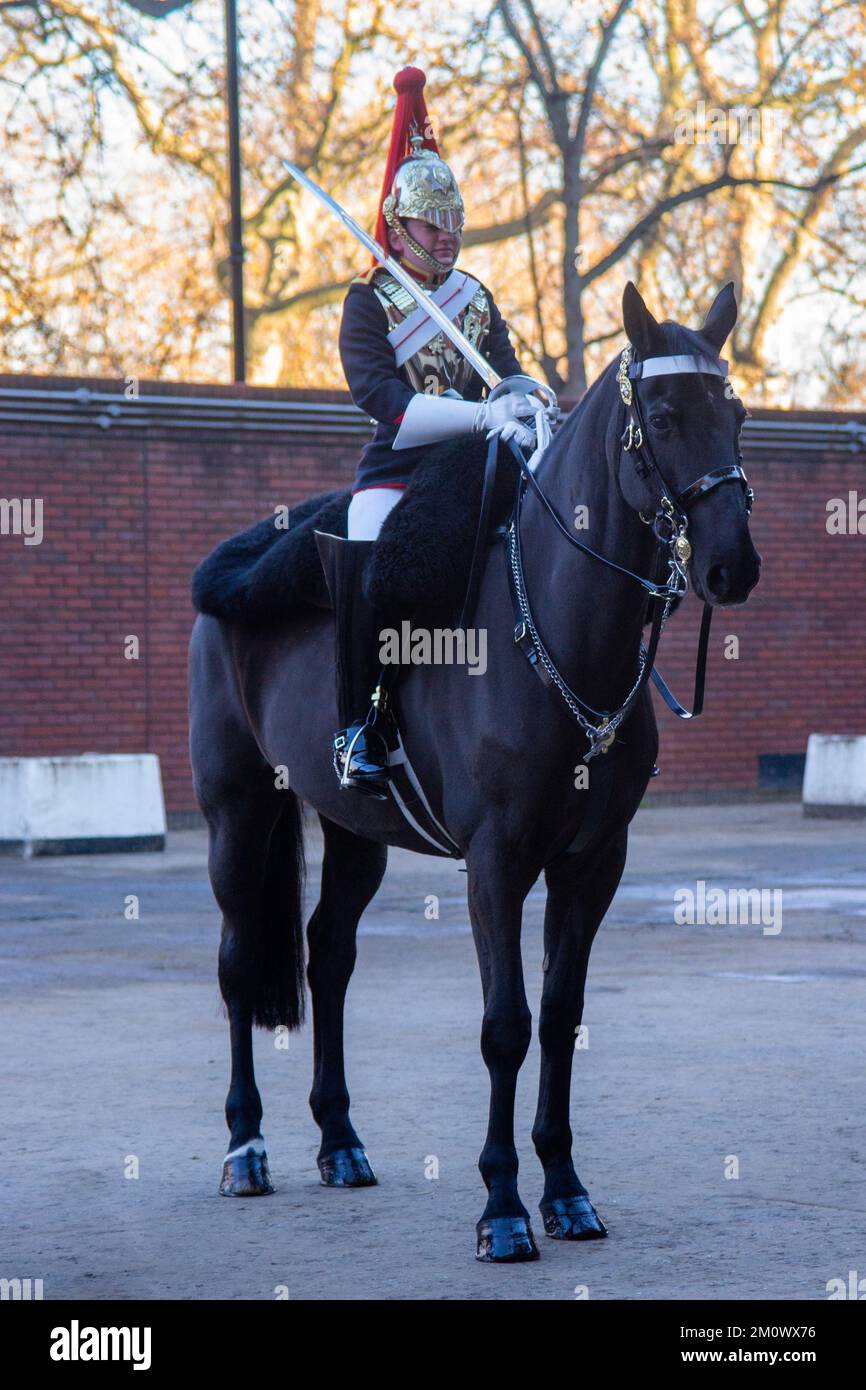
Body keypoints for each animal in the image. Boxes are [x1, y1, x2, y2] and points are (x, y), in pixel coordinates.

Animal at [187, 279, 756, 1262]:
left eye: (739, 413)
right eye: (664, 416)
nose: (733, 566)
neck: (560, 631)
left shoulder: (592, 864)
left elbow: (561, 1017)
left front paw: (565, 1192)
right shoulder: (496, 863)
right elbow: (505, 1027)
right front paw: (502, 1207)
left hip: (356, 829)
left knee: (328, 954)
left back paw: (340, 1141)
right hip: (236, 811)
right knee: (235, 963)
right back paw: (246, 1148)